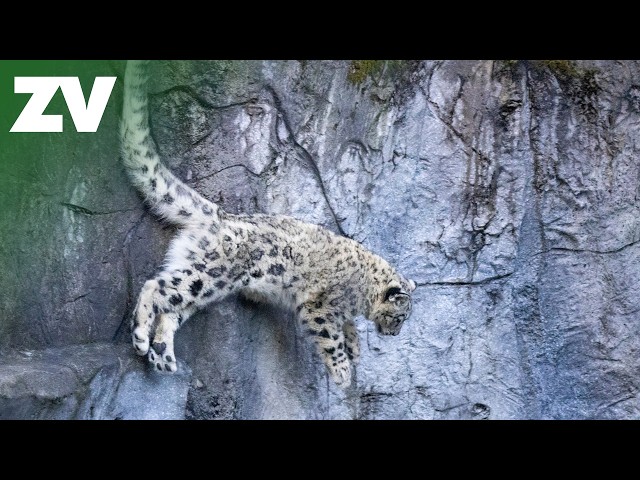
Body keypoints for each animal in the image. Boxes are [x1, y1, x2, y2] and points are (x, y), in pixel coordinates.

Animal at [120, 60, 416, 388]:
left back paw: (162, 354)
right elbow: (331, 335)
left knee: (173, 307)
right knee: (156, 287)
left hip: (203, 278)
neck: (362, 291)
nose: (393, 333)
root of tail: (221, 216)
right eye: (399, 317)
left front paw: (355, 347)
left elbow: (348, 326)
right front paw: (342, 371)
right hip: (213, 273)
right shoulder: (320, 306)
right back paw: (140, 338)